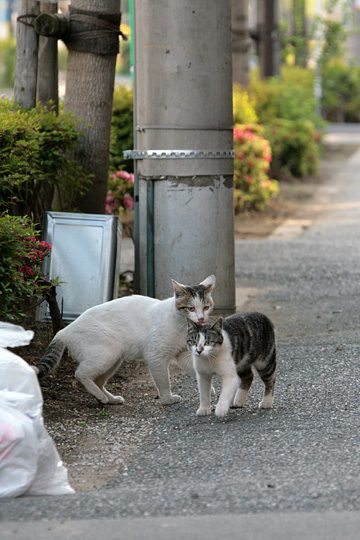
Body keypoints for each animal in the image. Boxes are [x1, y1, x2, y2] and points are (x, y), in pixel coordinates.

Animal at [33, 274, 215, 404]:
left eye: (206, 307)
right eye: (191, 308)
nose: (200, 319)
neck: (182, 325)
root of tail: (66, 329)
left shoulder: (183, 354)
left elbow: (195, 370)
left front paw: (209, 389)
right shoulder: (156, 357)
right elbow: (164, 382)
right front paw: (167, 399)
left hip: (113, 361)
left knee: (98, 381)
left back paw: (109, 399)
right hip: (105, 356)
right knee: (80, 374)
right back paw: (101, 397)